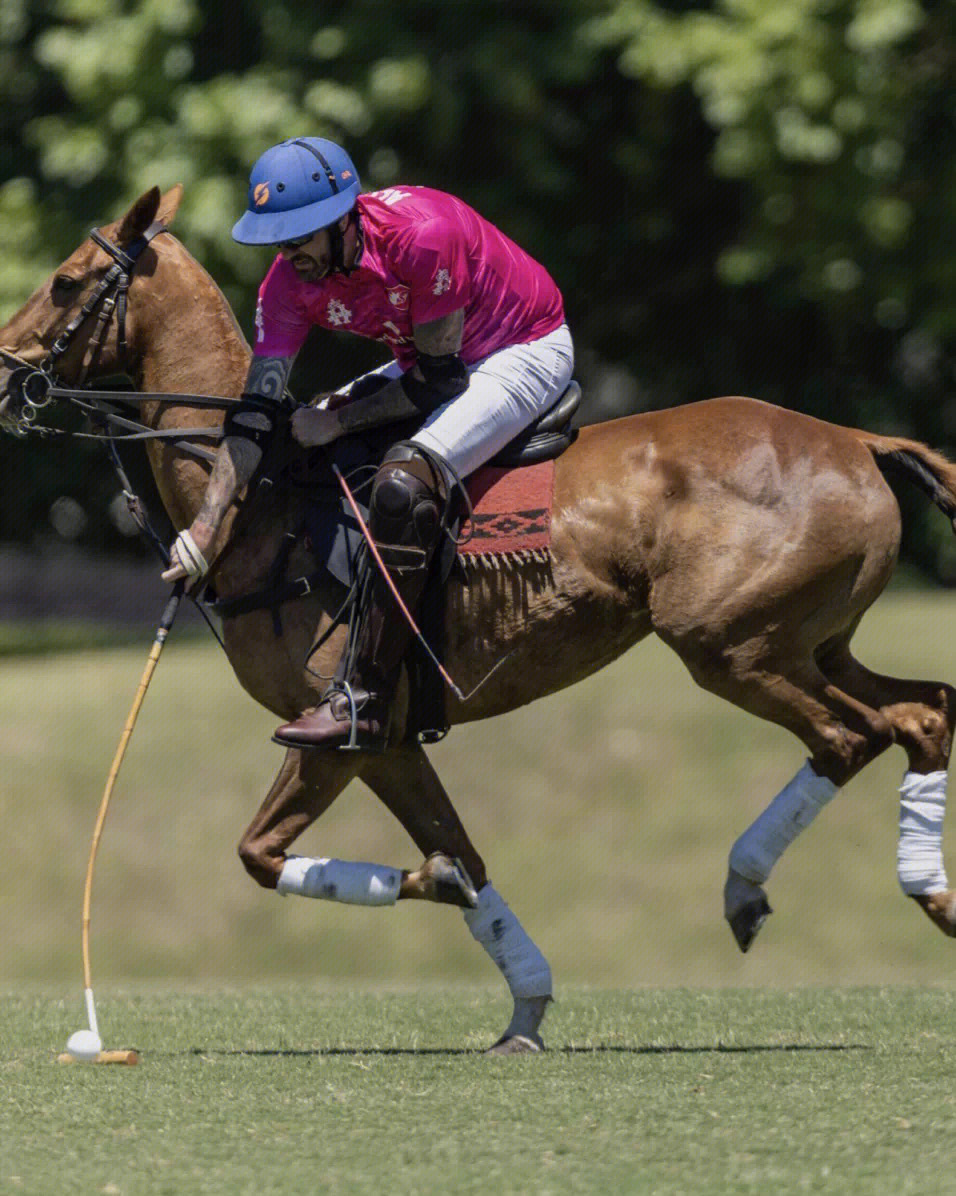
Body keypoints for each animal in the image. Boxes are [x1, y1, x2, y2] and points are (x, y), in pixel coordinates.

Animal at [1, 186, 956, 1047]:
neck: (265, 501)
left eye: (65, 281)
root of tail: (858, 440)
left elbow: (266, 853)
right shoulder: (387, 743)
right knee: (921, 712)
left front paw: (436, 891)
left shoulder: (337, 731)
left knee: (850, 737)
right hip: (812, 642)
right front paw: (524, 1008)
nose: (7, 371)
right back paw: (931, 892)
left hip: (729, 645)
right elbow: (459, 855)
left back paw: (745, 889)